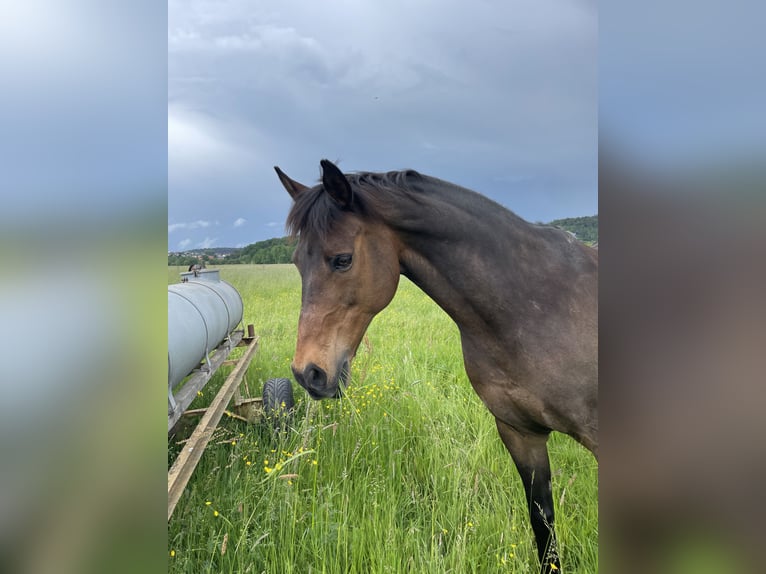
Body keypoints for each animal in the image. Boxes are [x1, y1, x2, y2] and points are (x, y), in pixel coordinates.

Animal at [276, 159, 600, 574]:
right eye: (298, 262)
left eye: (342, 259)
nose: (308, 373)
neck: (535, 305)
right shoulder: (520, 435)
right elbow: (543, 525)